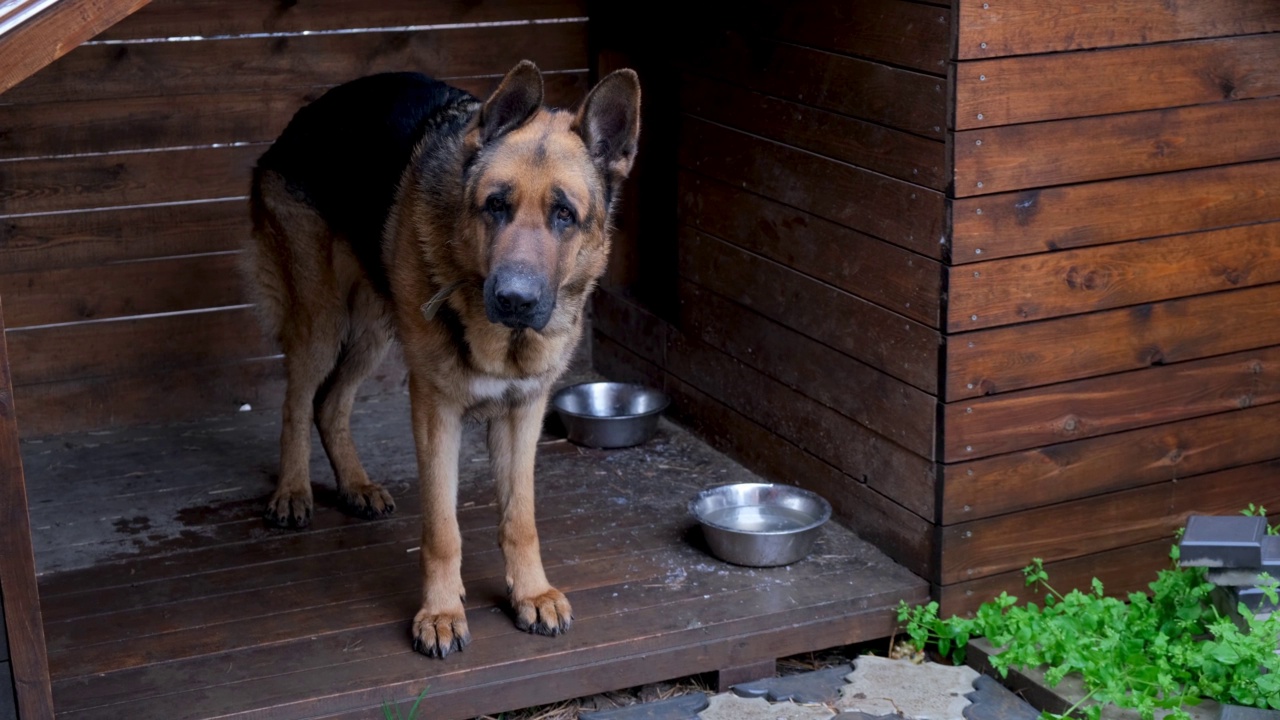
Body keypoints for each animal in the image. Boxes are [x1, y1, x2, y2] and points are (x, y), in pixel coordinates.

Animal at [241, 61, 640, 653]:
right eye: (495, 205)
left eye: (564, 215)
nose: (514, 300)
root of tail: (301, 119)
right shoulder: (435, 412)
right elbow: (442, 529)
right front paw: (442, 611)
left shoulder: (524, 414)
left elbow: (520, 519)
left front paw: (531, 593)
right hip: (324, 319)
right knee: (297, 402)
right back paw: (292, 491)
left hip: (374, 330)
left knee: (330, 404)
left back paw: (355, 485)